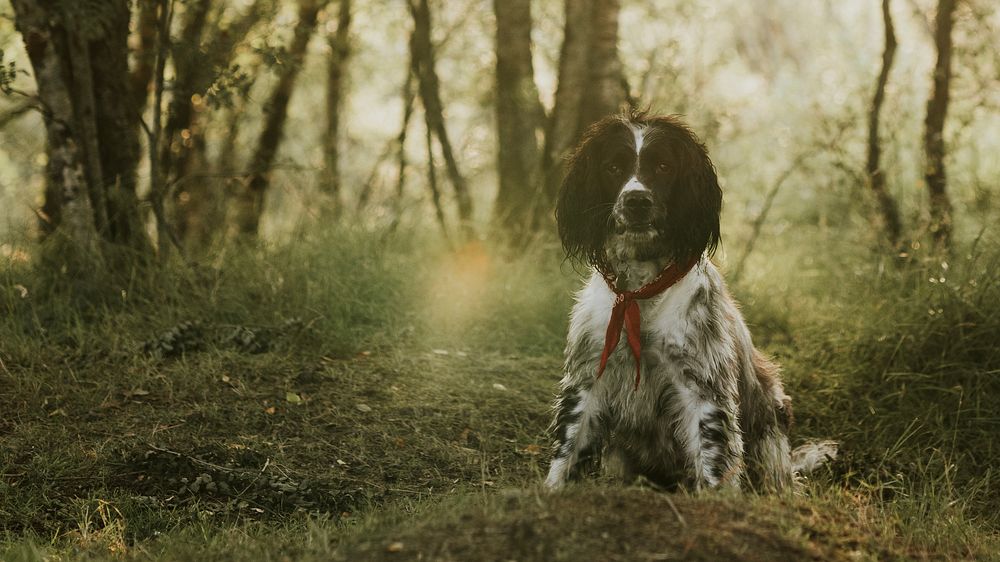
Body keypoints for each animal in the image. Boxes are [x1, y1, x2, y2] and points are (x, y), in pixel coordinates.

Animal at [544, 110, 832, 490]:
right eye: (613, 167)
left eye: (664, 166)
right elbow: (567, 452)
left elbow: (714, 466)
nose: (637, 201)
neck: (642, 292)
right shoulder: (589, 376)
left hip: (771, 413)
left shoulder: (702, 387)